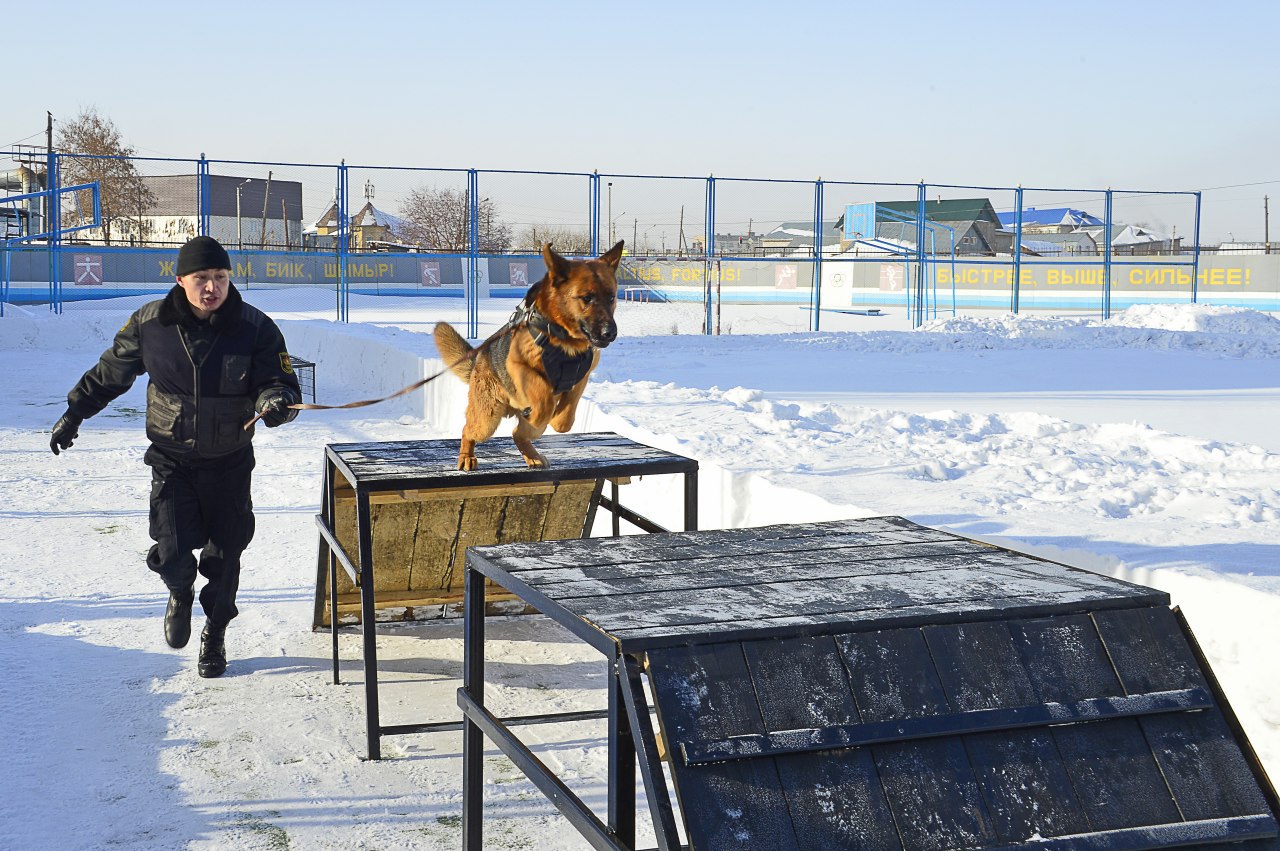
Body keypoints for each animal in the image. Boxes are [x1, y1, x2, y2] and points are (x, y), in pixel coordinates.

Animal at [432, 240, 622, 470]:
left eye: (611, 298)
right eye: (587, 298)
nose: (610, 333)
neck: (563, 340)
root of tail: (478, 359)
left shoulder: (581, 377)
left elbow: (565, 420)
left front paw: (557, 418)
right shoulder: (519, 366)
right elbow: (543, 400)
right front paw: (544, 411)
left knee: (518, 433)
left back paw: (531, 452)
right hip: (488, 418)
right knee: (469, 430)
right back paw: (467, 456)